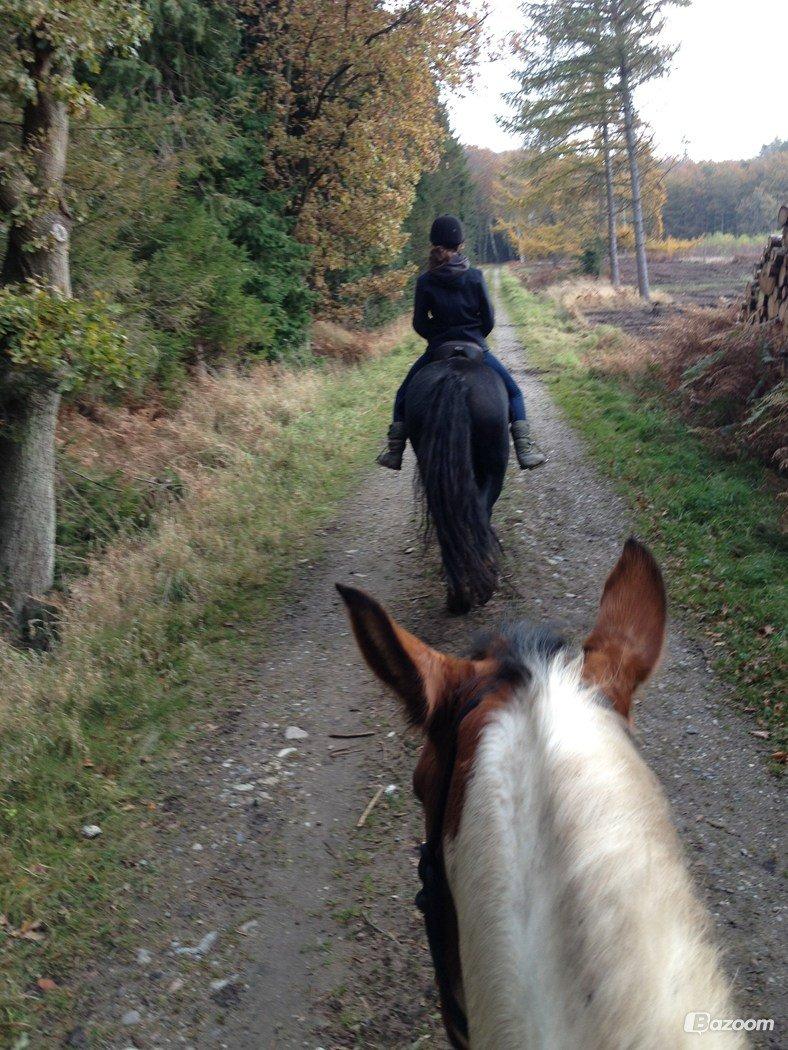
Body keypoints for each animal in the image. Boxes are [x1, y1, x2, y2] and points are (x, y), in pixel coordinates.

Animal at [403, 342, 508, 613]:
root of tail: (455, 377)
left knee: (445, 522)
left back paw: (458, 595)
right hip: (495, 469)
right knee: (479, 512)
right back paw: (480, 586)